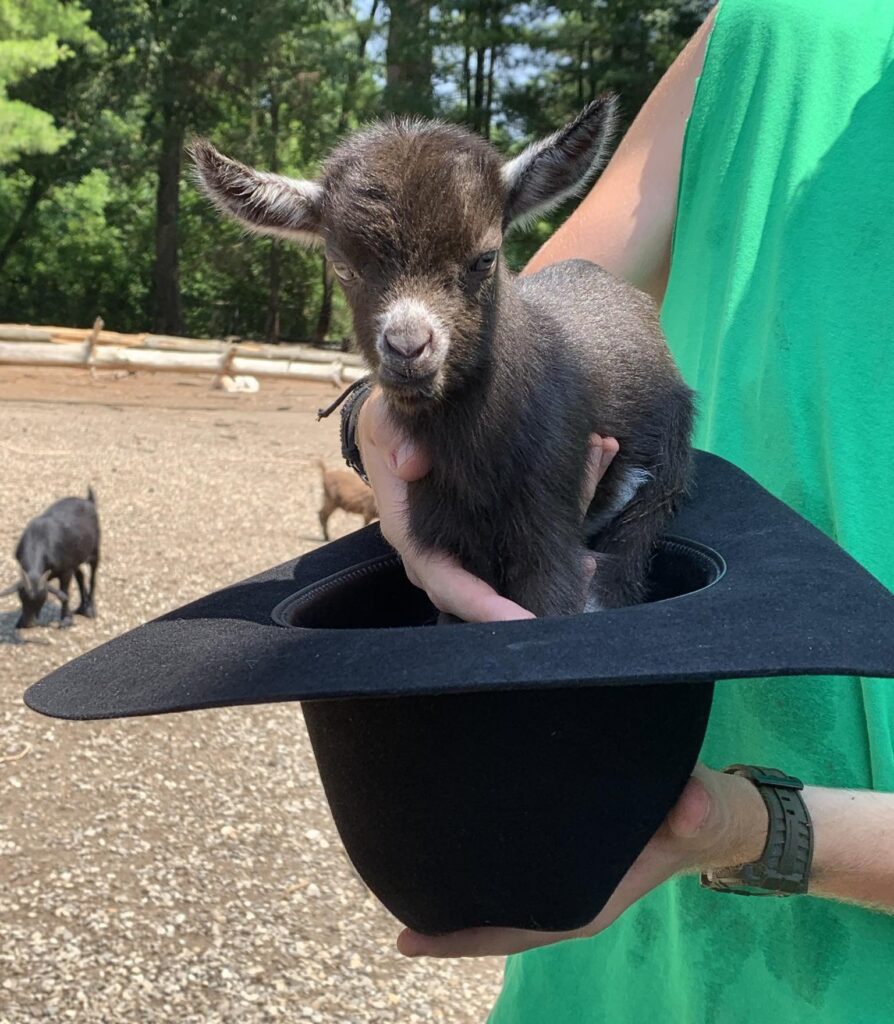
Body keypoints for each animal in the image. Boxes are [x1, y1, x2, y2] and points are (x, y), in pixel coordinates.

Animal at [0, 485, 99, 626]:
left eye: (42, 600)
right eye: (22, 598)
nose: (30, 623)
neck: (38, 540)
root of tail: (89, 501)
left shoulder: (66, 571)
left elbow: (64, 592)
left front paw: (66, 619)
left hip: (94, 551)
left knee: (92, 577)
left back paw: (90, 610)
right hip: (76, 558)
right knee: (80, 576)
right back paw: (81, 608)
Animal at [193, 99, 696, 614]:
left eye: (486, 257)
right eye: (343, 267)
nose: (407, 347)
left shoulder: (550, 518)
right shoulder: (451, 533)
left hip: (666, 463)